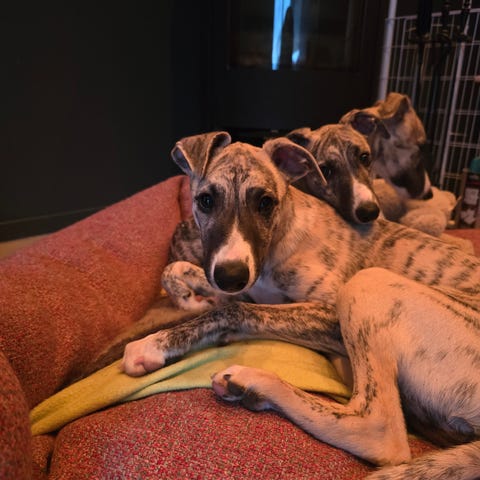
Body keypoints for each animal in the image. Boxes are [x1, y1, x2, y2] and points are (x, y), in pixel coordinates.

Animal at [121, 129, 480, 479]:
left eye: (266, 202)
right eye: (205, 200)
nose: (231, 277)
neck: (280, 238)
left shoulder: (329, 315)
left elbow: (233, 310)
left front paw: (154, 344)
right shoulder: (240, 280)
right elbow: (177, 269)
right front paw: (191, 300)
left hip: (367, 283)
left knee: (380, 432)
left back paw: (254, 381)